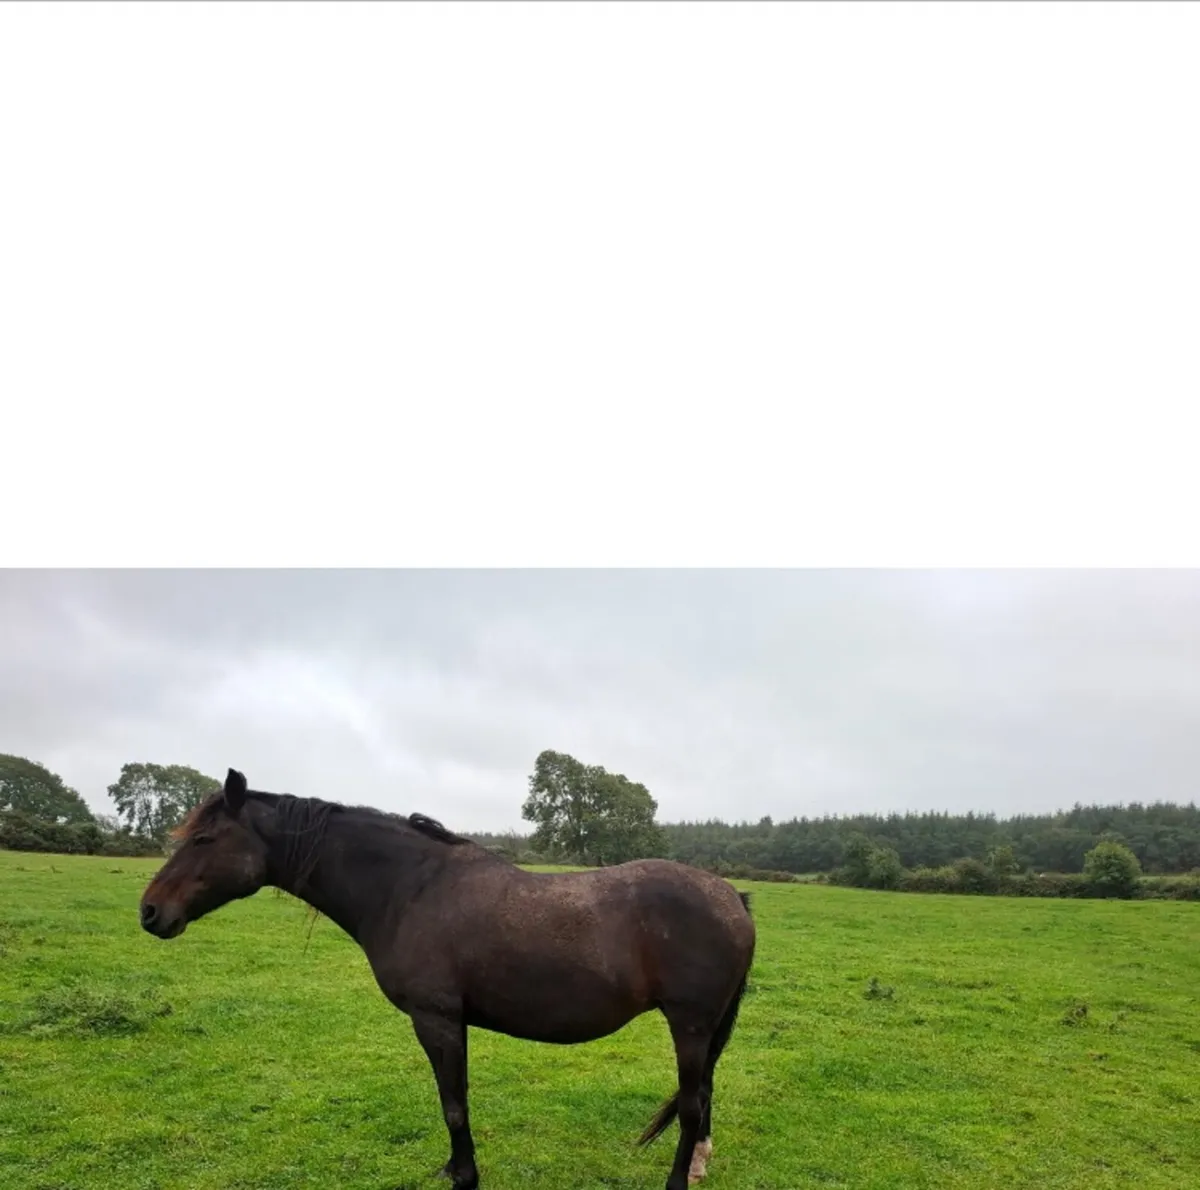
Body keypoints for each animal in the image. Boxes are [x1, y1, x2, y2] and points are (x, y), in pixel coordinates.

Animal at [138, 769, 756, 1190]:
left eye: (204, 840)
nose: (150, 912)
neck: (409, 888)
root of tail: (733, 896)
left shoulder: (436, 1019)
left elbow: (453, 1104)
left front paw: (464, 1174)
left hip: (690, 1025)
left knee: (692, 1105)